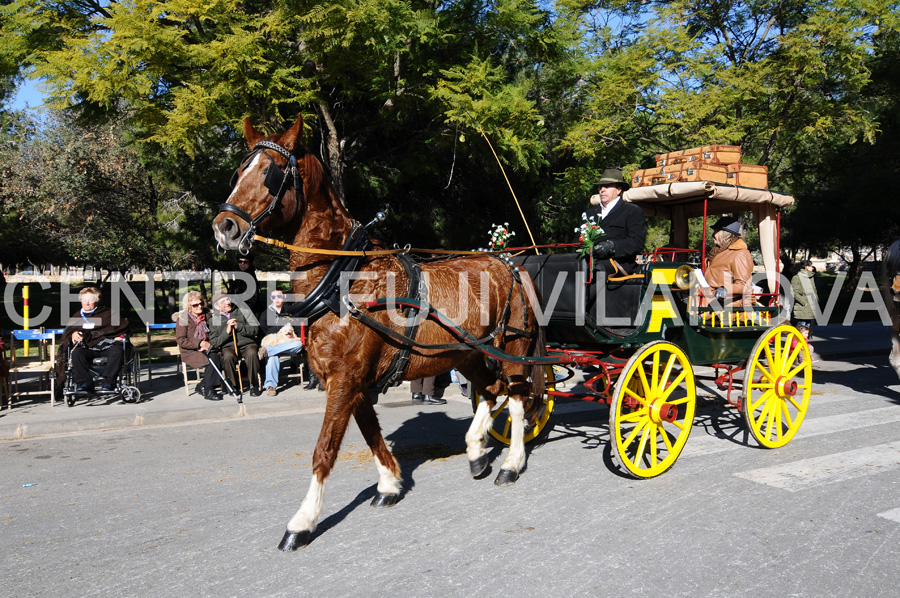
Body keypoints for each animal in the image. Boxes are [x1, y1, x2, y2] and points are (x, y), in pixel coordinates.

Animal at [214, 115, 544, 552]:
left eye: (272, 173)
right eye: (238, 172)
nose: (224, 227)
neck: (342, 282)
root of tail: (509, 261)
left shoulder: (345, 379)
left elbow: (325, 448)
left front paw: (302, 521)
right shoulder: (349, 381)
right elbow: (371, 433)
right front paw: (389, 484)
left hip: (514, 348)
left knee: (518, 398)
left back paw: (512, 463)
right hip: (468, 353)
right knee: (491, 391)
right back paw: (476, 451)